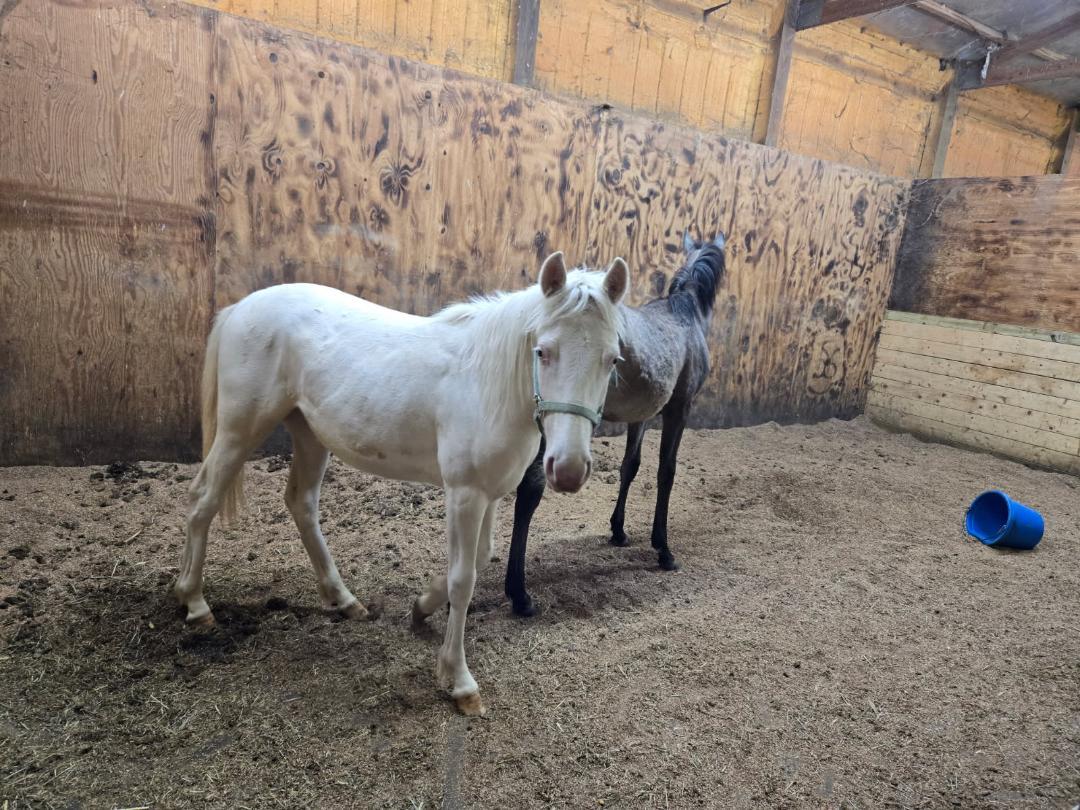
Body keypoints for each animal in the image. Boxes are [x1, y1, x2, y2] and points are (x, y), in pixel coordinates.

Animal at [173, 251, 630, 715]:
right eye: (543, 351)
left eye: (612, 360)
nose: (568, 470)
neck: (486, 382)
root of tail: (240, 308)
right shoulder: (464, 494)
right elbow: (463, 579)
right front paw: (459, 681)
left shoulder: (490, 493)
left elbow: (481, 557)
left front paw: (421, 609)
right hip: (240, 429)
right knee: (203, 500)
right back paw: (195, 604)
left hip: (308, 433)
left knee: (301, 503)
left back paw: (344, 600)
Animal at [504, 232, 726, 617]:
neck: (683, 315)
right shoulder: (679, 409)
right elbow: (666, 472)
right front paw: (663, 550)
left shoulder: (642, 415)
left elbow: (630, 466)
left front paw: (618, 531)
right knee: (530, 488)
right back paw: (518, 593)